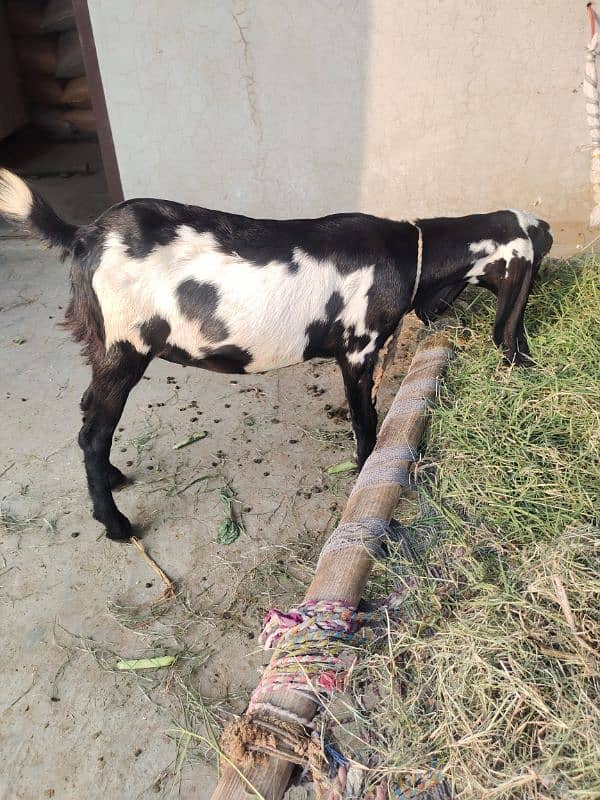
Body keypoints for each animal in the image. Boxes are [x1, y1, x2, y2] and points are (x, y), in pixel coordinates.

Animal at [1, 171, 552, 540]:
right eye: (539, 251)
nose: (523, 360)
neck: (407, 253)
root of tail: (84, 236)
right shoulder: (358, 348)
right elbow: (365, 421)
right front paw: (363, 473)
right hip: (124, 348)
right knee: (93, 432)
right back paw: (116, 524)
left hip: (105, 350)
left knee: (89, 417)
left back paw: (114, 479)